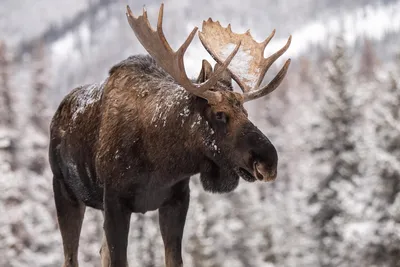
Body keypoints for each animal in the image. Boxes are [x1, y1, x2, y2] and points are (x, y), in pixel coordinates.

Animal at [48, 2, 290, 267]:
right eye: (219, 114)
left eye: (245, 111)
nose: (269, 161)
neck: (162, 163)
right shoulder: (114, 201)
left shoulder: (177, 199)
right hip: (64, 190)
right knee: (70, 256)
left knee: (101, 252)